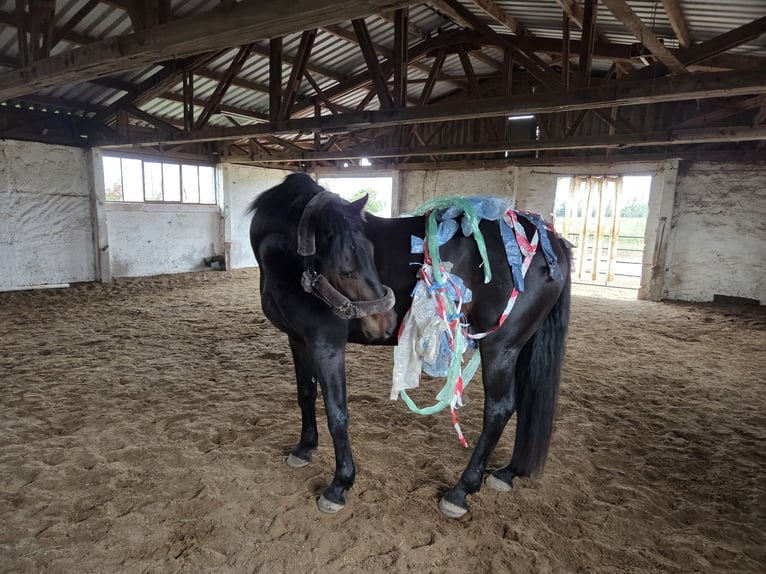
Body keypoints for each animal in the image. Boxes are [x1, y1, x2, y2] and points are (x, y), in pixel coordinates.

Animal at [248, 173, 571, 518]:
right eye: (346, 270)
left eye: (370, 253)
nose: (386, 321)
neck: (286, 265)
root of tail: (551, 242)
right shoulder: (298, 339)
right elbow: (306, 395)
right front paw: (304, 448)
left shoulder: (326, 344)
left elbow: (337, 411)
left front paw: (340, 484)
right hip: (520, 348)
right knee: (524, 401)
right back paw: (507, 473)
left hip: (500, 348)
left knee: (499, 409)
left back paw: (460, 491)